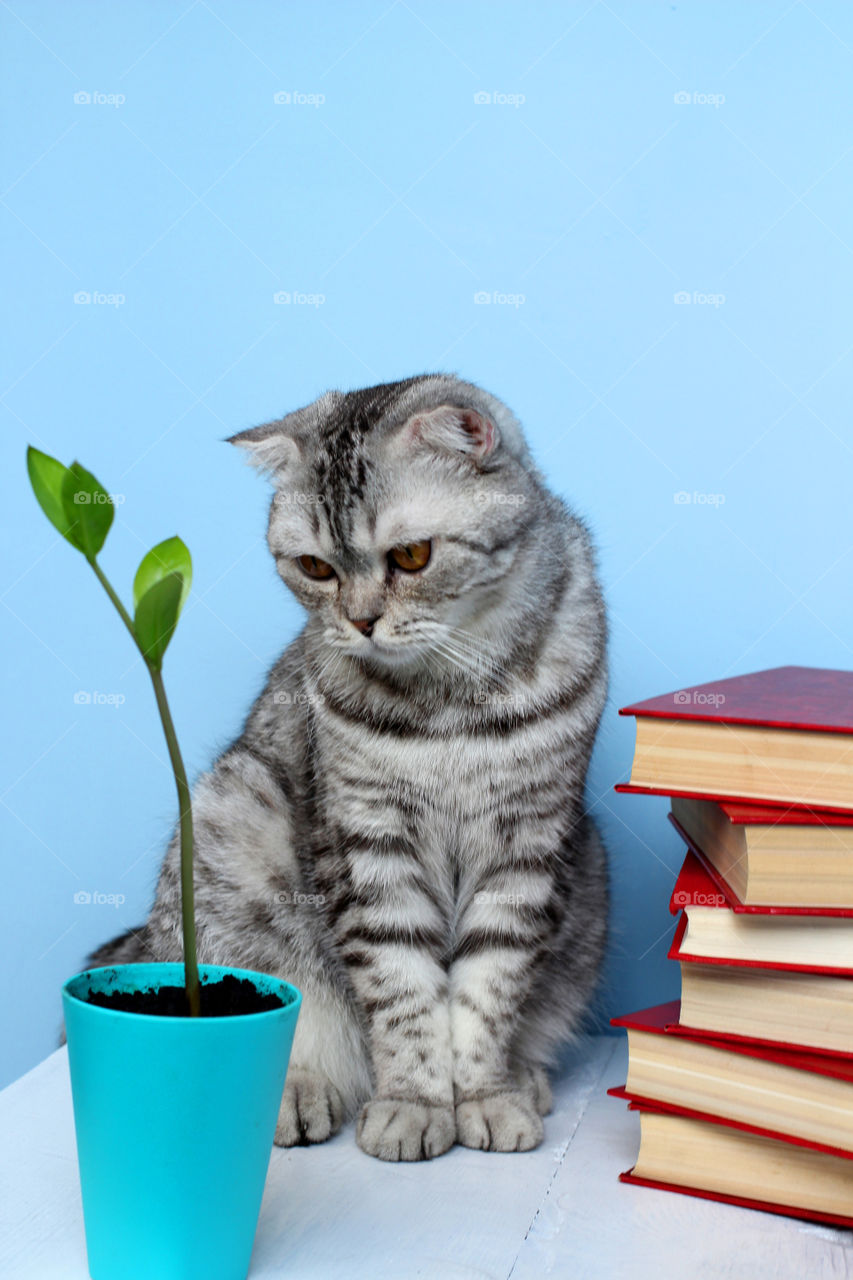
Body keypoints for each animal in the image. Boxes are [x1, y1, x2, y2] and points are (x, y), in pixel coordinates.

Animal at [89, 373, 607, 1162]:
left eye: (413, 557)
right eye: (315, 568)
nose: (361, 622)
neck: (450, 701)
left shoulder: (528, 839)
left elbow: (488, 989)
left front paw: (483, 1094)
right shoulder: (369, 844)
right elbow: (403, 993)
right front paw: (415, 1102)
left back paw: (525, 1076)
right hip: (228, 816)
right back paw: (301, 1093)